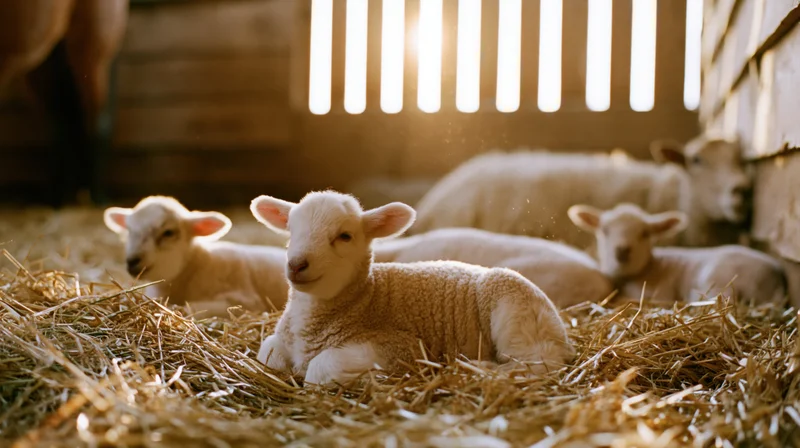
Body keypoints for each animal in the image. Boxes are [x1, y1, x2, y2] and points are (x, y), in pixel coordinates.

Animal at [249, 190, 575, 386]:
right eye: (291, 230)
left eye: (344, 236)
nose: (296, 265)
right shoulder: (280, 340)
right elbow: (267, 353)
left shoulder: (400, 347)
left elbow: (319, 369)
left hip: (516, 312)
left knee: (537, 365)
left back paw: (476, 368)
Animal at [567, 203, 786, 305]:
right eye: (604, 230)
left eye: (645, 233)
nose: (622, 250)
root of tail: (774, 276)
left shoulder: (658, 292)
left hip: (717, 279)